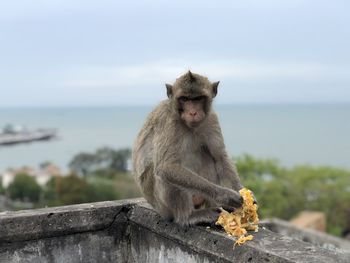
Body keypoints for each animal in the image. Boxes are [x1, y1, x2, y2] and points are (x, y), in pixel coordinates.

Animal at [133, 71, 245, 228]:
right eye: (185, 99)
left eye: (198, 98)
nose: (192, 112)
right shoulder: (169, 122)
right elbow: (167, 166)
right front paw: (225, 195)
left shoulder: (211, 119)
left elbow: (220, 157)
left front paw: (243, 193)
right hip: (163, 208)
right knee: (164, 173)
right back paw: (188, 217)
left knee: (208, 158)